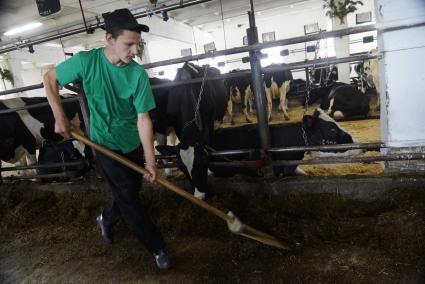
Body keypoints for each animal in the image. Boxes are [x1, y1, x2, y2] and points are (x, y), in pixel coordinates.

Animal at [153, 62, 229, 200]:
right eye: (181, 167)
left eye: (203, 160)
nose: (199, 196)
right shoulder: (177, 126)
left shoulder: (209, 121)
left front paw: (210, 170)